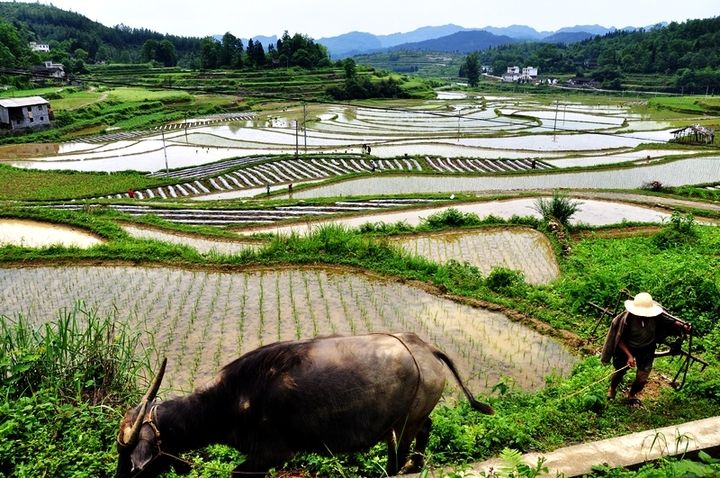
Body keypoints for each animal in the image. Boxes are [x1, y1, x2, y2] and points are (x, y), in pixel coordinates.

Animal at [115, 332, 492, 478]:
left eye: (132, 463)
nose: (121, 477)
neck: (229, 401)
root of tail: (425, 348)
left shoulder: (272, 454)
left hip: (401, 428)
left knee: (395, 459)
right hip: (407, 419)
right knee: (426, 428)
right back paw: (418, 462)